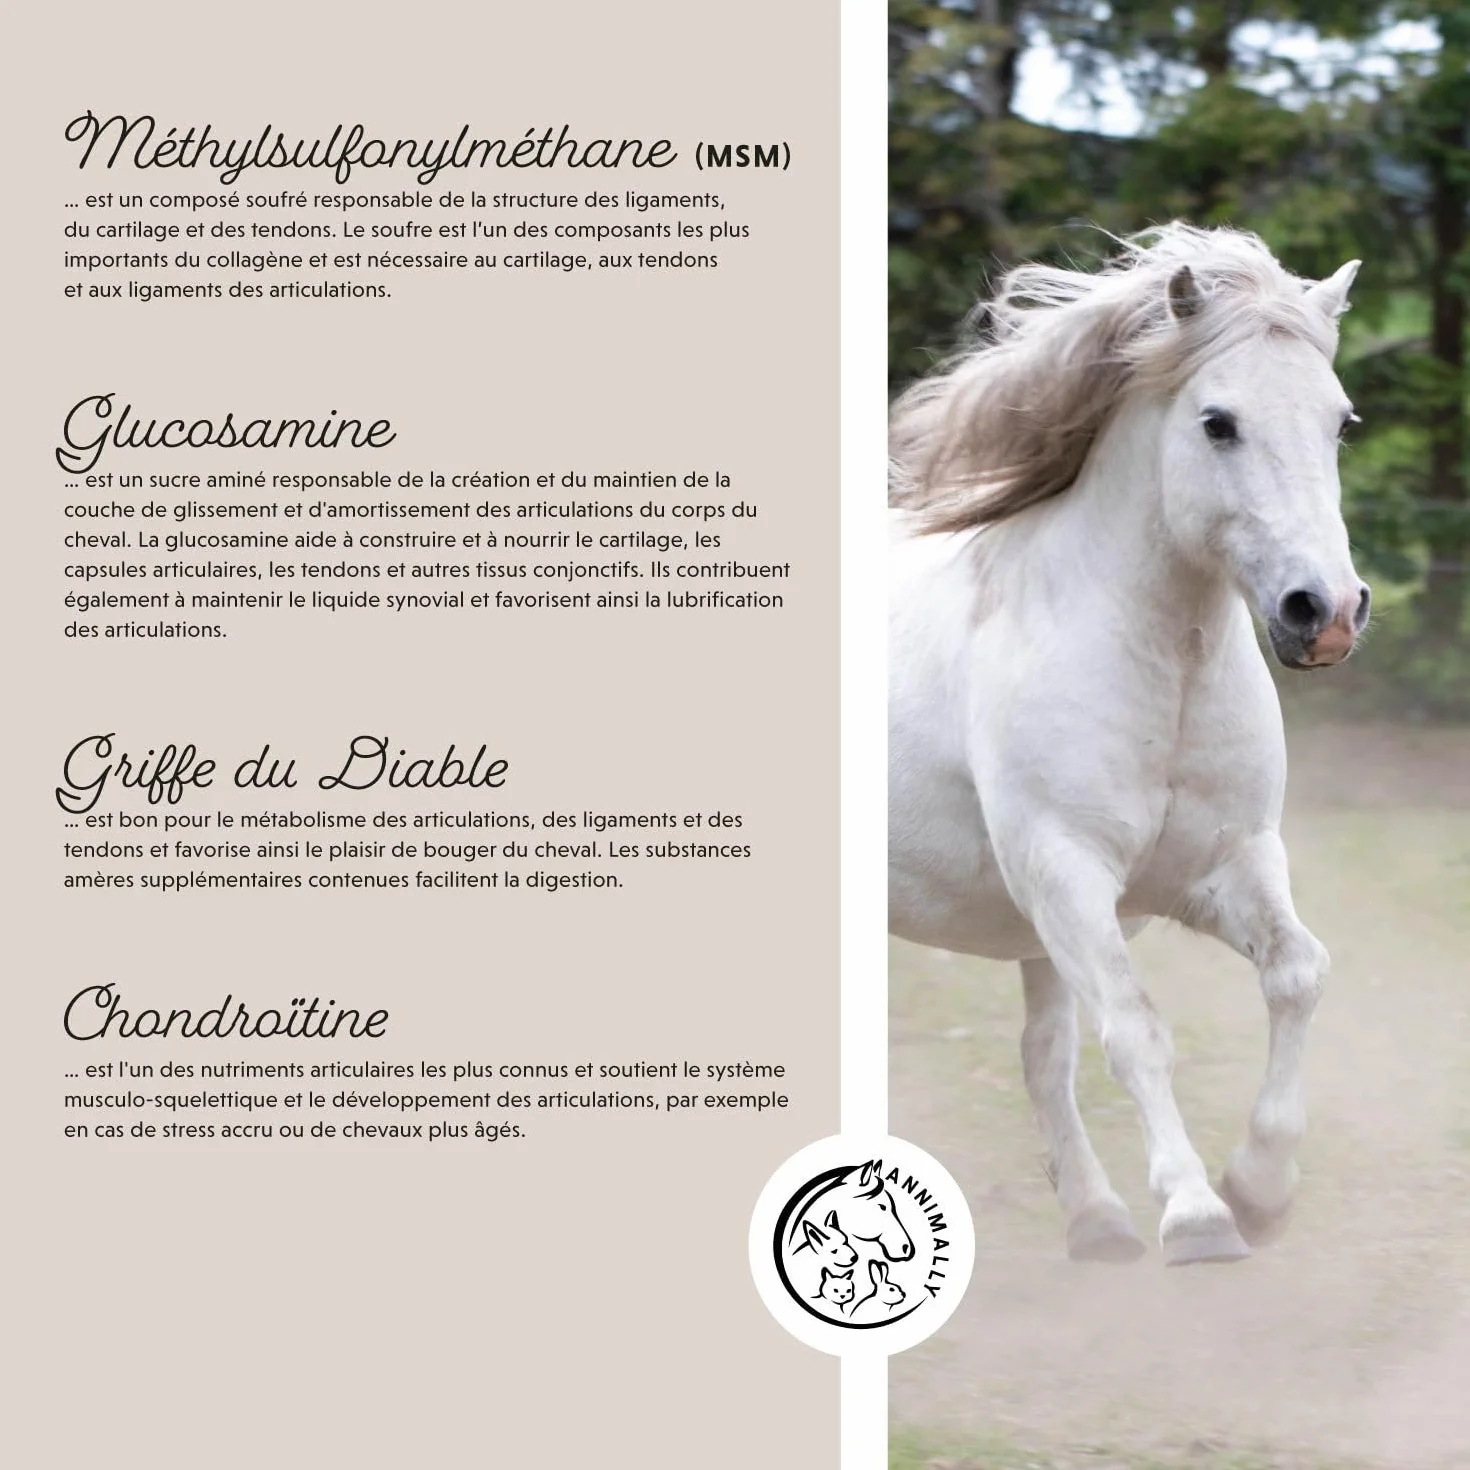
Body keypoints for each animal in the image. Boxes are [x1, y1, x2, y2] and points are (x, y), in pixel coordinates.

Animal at [888, 224, 1370, 1267]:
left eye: (1340, 422)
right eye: (1218, 422)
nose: (1324, 614)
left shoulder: (1222, 866)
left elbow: (1298, 973)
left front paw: (1260, 1188)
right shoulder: (1068, 873)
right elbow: (1137, 1029)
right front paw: (1197, 1217)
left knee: (1044, 1055)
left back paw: (1097, 1221)